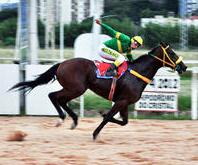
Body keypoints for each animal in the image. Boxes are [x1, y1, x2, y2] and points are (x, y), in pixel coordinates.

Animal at [10, 42, 187, 139]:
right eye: (171, 53)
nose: (184, 67)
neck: (137, 73)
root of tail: (62, 64)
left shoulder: (124, 102)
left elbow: (124, 121)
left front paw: (101, 115)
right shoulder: (122, 101)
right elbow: (109, 117)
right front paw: (95, 133)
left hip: (73, 88)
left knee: (59, 99)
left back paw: (73, 119)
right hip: (77, 88)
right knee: (54, 96)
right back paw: (63, 118)